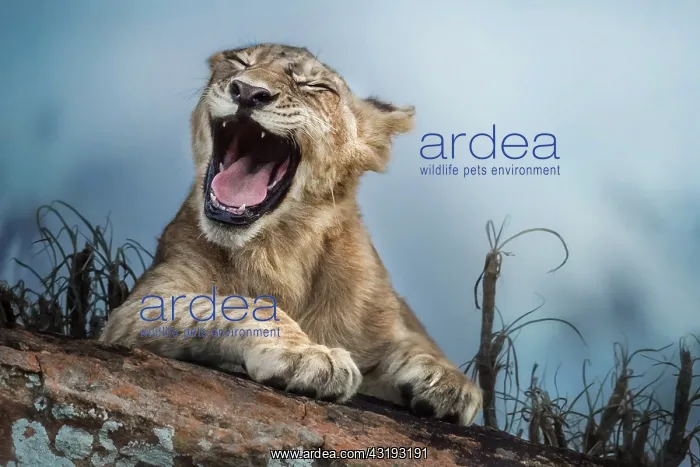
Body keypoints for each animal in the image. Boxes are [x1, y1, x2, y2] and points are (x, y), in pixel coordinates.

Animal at [99, 43, 483, 426]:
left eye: (314, 86)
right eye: (239, 62)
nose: (248, 92)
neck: (281, 247)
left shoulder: (388, 317)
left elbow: (415, 342)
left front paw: (447, 381)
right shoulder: (138, 308)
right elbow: (235, 304)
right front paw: (309, 355)